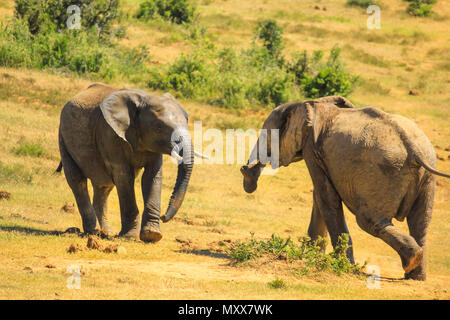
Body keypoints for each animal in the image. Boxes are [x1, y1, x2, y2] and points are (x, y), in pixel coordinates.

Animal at [57, 82, 195, 242]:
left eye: (187, 121)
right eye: (159, 127)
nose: (164, 216)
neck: (144, 99)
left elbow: (152, 176)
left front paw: (152, 235)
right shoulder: (110, 134)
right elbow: (124, 176)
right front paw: (130, 237)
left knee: (104, 187)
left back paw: (106, 232)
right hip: (63, 137)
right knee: (77, 180)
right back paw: (93, 231)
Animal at [243, 95, 450, 280]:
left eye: (266, 135)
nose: (247, 173)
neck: (311, 103)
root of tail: (413, 147)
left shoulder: (312, 149)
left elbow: (326, 197)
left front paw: (339, 264)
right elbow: (320, 196)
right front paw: (313, 256)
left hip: (385, 171)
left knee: (369, 220)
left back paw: (412, 262)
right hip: (426, 175)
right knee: (420, 223)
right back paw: (415, 275)